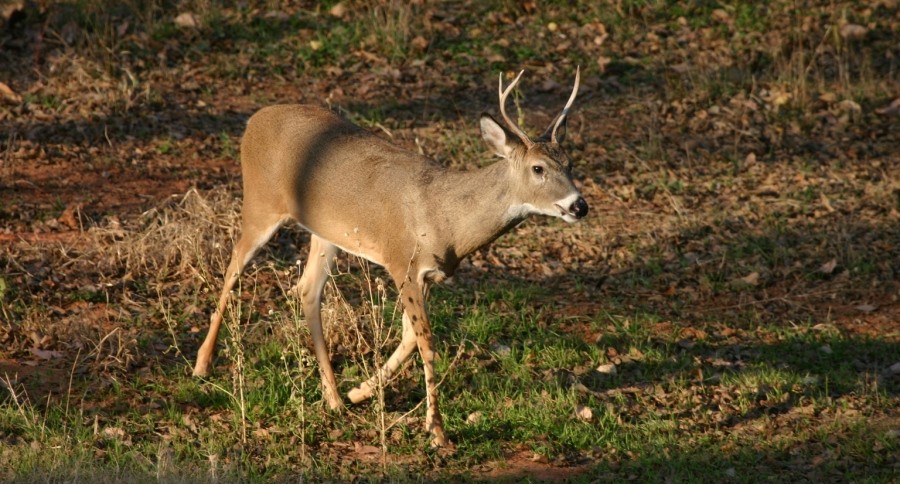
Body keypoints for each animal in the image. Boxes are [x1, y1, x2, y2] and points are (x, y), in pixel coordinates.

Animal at [192, 68, 588, 447]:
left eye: (571, 163)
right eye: (538, 168)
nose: (579, 205)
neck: (447, 219)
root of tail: (254, 120)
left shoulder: (430, 274)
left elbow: (411, 338)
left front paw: (361, 391)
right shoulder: (402, 261)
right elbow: (426, 342)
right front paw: (437, 431)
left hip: (326, 232)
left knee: (307, 289)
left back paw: (334, 398)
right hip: (261, 202)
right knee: (233, 268)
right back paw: (202, 365)